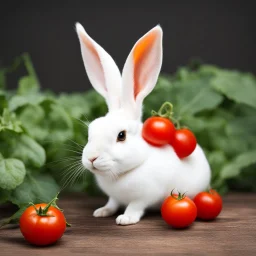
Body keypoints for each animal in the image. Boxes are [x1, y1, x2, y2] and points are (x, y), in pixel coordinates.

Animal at [75, 23, 210, 225]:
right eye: (91, 132)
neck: (120, 175)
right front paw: (102, 211)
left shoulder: (145, 197)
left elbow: (135, 206)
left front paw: (126, 219)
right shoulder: (114, 197)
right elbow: (112, 202)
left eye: (121, 135)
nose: (92, 158)